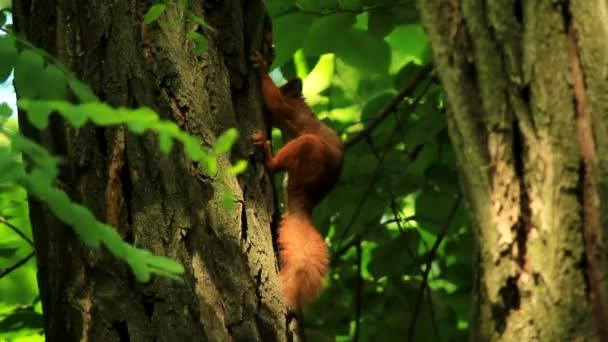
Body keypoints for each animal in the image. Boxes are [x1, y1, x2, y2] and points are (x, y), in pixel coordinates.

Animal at [251, 51, 344, 312]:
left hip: (307, 147)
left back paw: (267, 154)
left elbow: (273, 100)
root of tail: (306, 195)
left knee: (274, 165)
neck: (299, 103)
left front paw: (262, 66)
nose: (292, 82)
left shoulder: (287, 110)